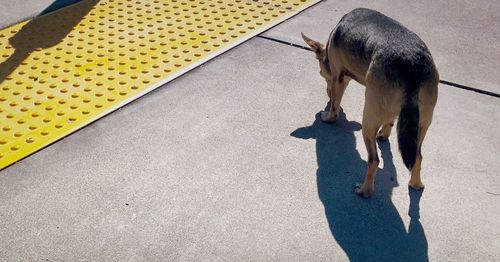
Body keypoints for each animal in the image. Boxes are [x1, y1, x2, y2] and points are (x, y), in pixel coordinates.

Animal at [300, 7, 438, 198]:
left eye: (321, 73)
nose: (326, 93)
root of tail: (411, 63)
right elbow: (390, 122)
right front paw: (385, 134)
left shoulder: (338, 78)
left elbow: (335, 104)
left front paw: (328, 116)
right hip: (421, 124)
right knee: (418, 156)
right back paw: (416, 183)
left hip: (368, 121)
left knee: (374, 160)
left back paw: (365, 190)